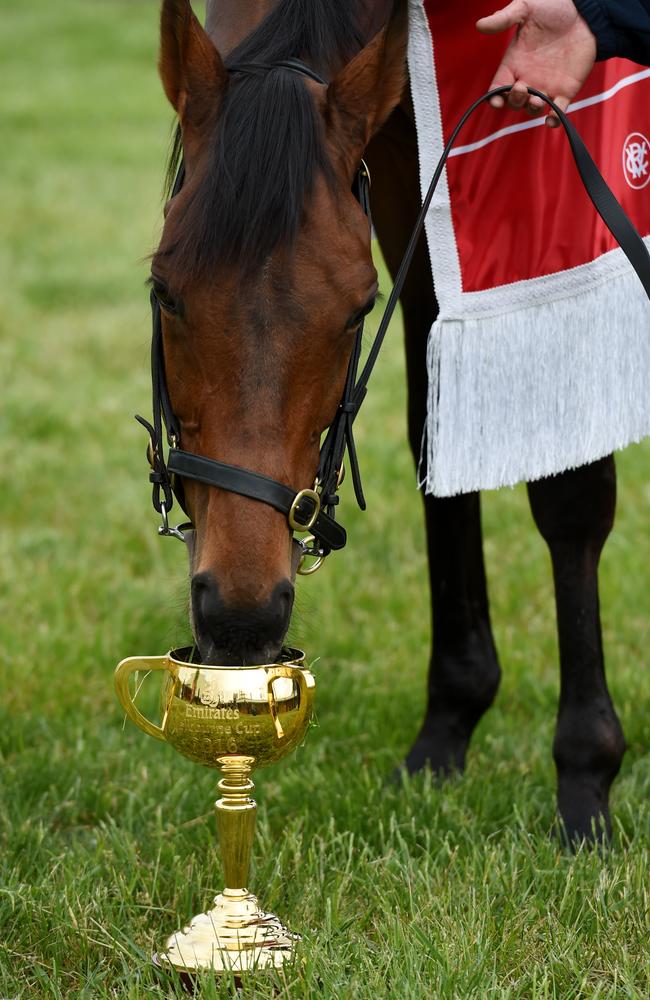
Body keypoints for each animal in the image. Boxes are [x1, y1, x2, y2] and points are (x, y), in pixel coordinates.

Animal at [149, 0, 624, 844]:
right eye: (166, 291)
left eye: (355, 309)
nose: (241, 613)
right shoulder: (414, 190)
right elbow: (439, 445)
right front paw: (448, 726)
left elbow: (569, 492)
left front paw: (585, 775)